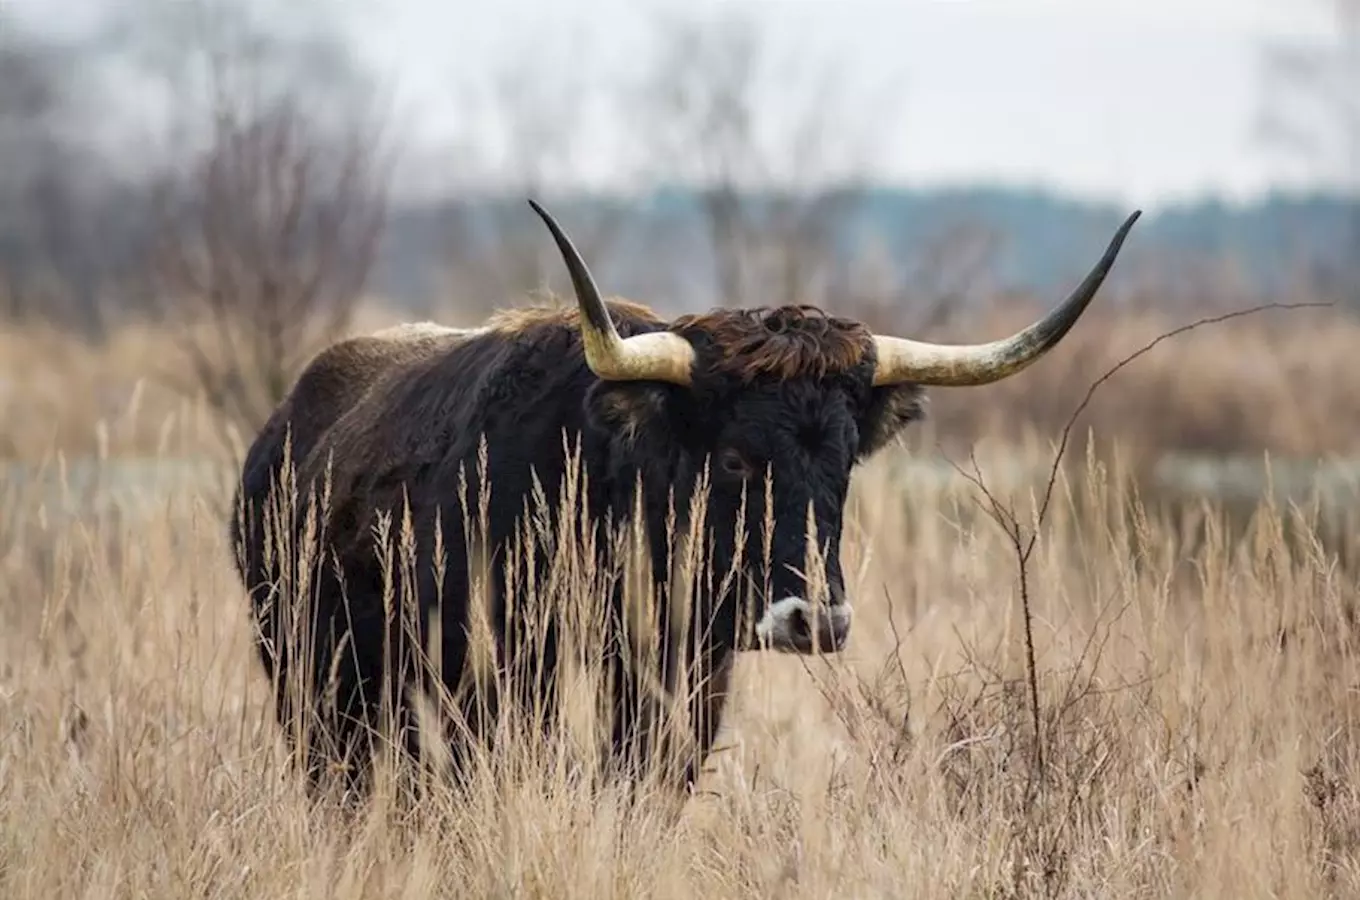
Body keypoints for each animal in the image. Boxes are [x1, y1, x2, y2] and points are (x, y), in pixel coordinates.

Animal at [228, 199, 1142, 799]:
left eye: (845, 460)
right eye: (734, 458)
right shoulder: (487, 682)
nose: (816, 621)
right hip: (313, 679)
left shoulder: (683, 683)